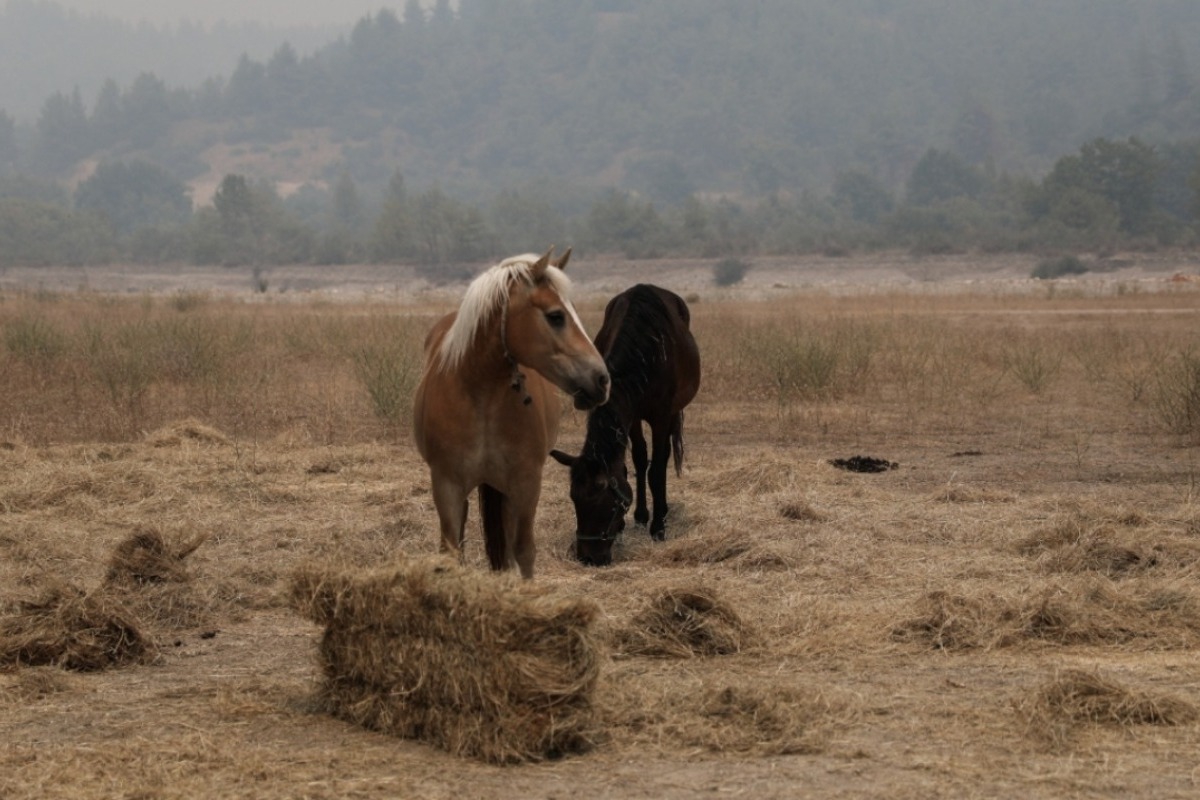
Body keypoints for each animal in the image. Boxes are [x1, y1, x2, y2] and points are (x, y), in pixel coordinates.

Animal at [412, 247, 609, 578]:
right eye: (556, 316)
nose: (602, 380)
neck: (481, 398)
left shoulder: (525, 483)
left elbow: (523, 551)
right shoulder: (446, 484)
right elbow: (451, 552)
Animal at [549, 284, 700, 566]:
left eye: (601, 498)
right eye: (574, 498)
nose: (588, 557)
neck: (645, 352)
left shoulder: (661, 416)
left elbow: (657, 469)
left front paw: (658, 527)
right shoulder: (631, 415)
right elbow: (639, 460)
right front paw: (638, 517)